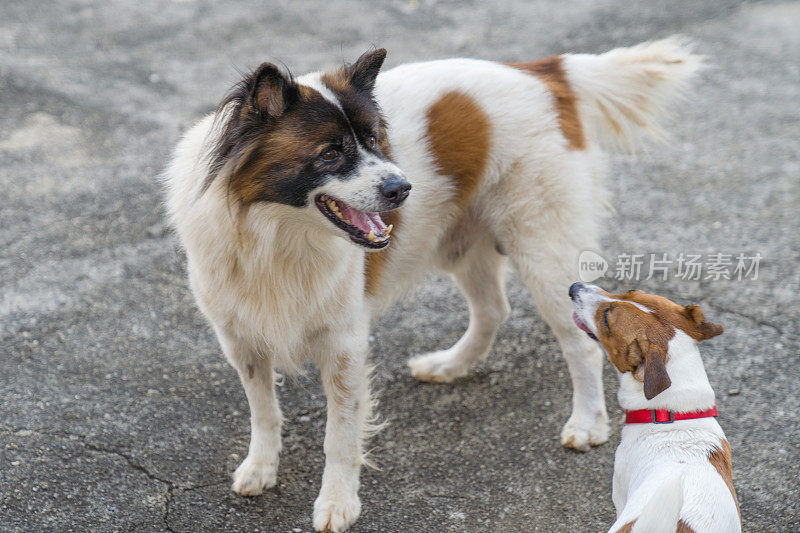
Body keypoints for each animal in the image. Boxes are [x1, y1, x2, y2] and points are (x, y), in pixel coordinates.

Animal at [167, 39, 700, 528]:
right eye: (331, 152)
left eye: (376, 141)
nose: (403, 189)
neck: (275, 234)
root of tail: (543, 70)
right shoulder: (240, 336)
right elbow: (263, 410)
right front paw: (261, 467)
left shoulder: (343, 344)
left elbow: (340, 434)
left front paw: (338, 502)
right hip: (461, 242)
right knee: (493, 309)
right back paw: (451, 364)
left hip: (542, 247)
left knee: (578, 342)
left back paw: (587, 421)